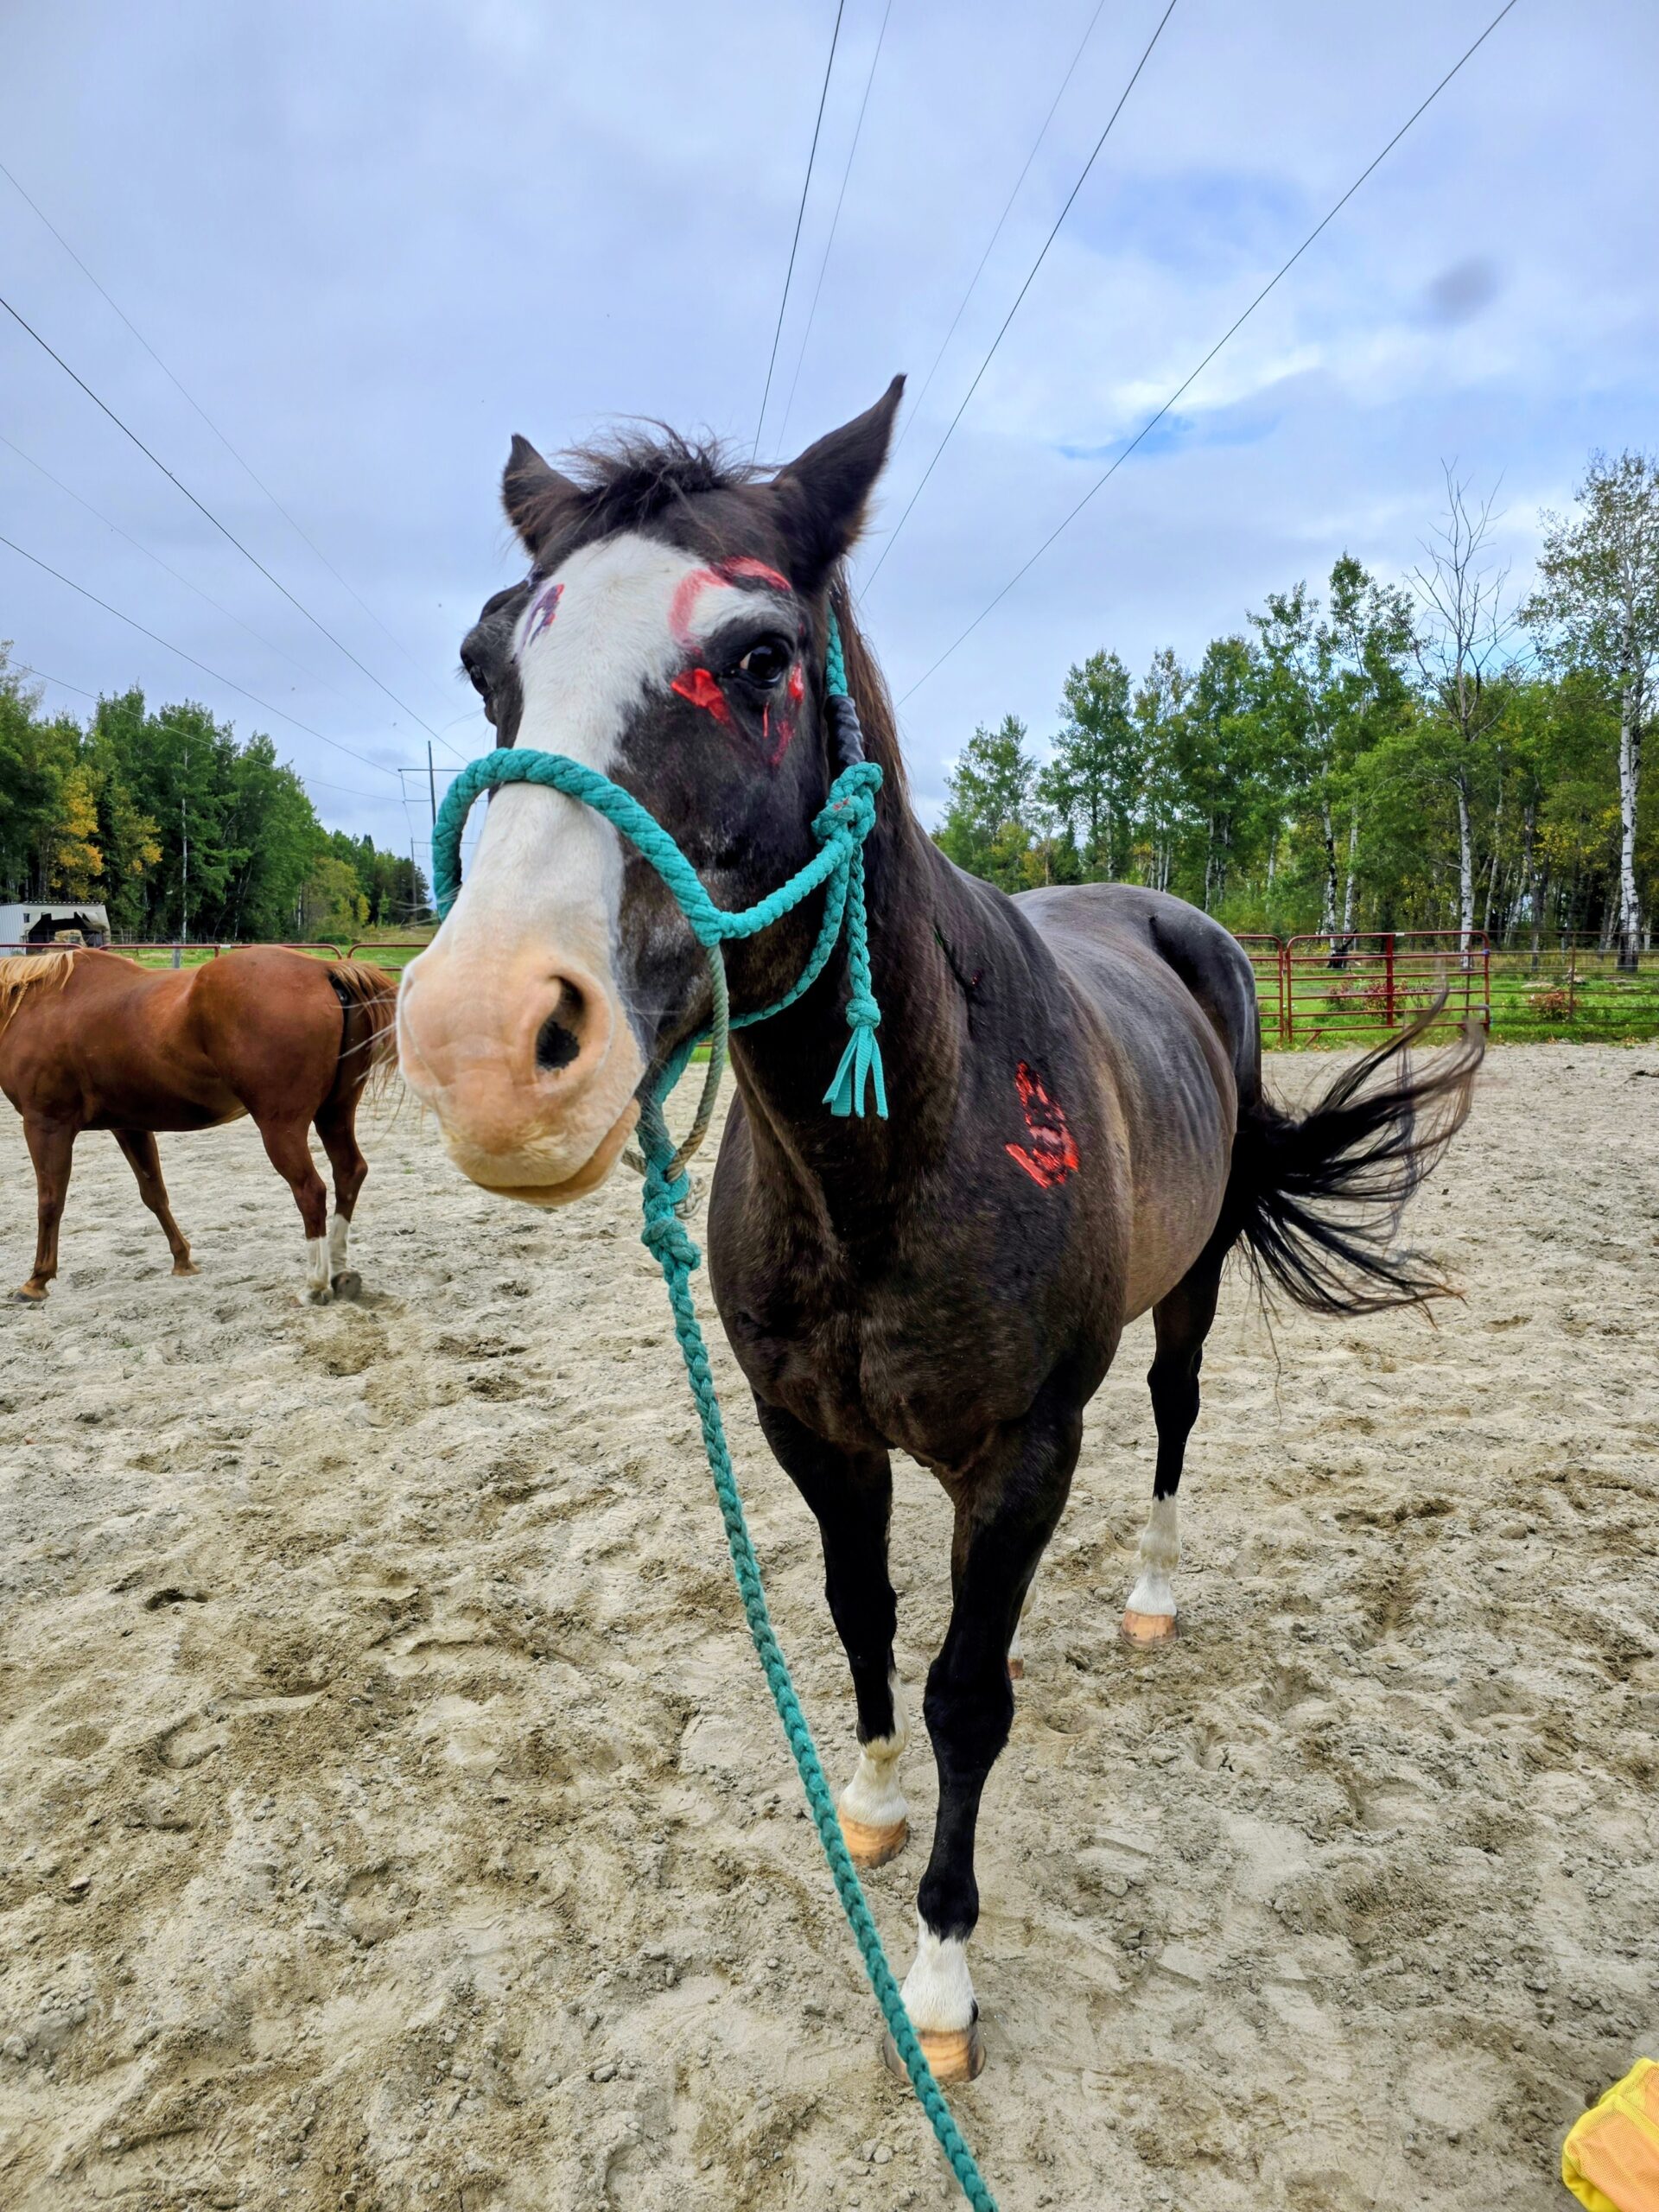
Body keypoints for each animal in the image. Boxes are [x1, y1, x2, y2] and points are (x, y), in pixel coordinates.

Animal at [0, 946, 397, 1305]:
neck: (36, 1004)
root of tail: (324, 970)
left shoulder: (46, 1125)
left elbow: (50, 1201)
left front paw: (36, 1280)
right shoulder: (130, 1126)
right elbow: (154, 1194)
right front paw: (183, 1260)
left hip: (282, 1127)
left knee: (310, 1191)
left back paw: (315, 1284)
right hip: (335, 1114)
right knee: (349, 1172)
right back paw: (340, 1272)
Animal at [395, 378, 1483, 2082]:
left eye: (761, 656)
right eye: (486, 661)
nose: (484, 1045)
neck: (888, 1166)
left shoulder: (1023, 1448)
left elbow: (968, 1694)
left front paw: (943, 1973)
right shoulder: (808, 1432)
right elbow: (867, 1618)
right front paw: (872, 1803)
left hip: (1179, 1308)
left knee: (1175, 1417)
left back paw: (1153, 1594)